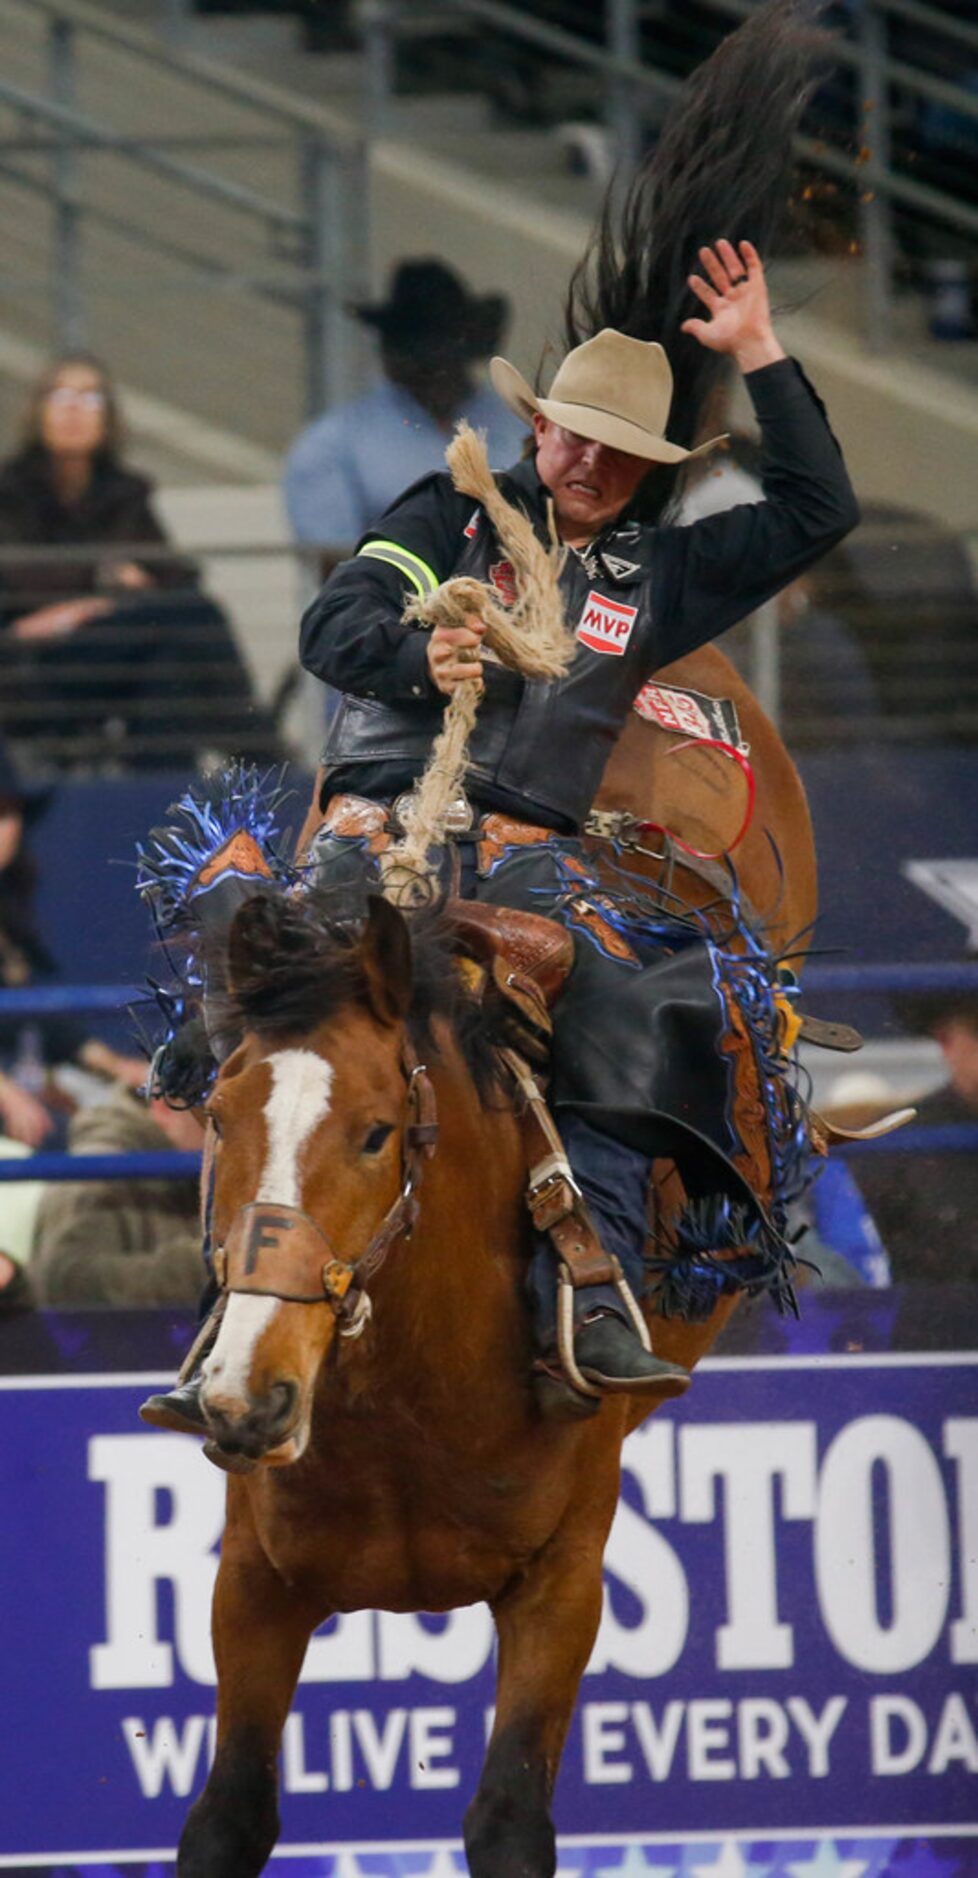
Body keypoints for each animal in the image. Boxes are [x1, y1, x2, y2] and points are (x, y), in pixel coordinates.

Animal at [171, 646, 810, 1878]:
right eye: (220, 1114)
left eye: (378, 1131)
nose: (248, 1393)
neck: (414, 1392)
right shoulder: (251, 1583)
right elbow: (228, 1817)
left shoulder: (565, 1581)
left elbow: (509, 1815)